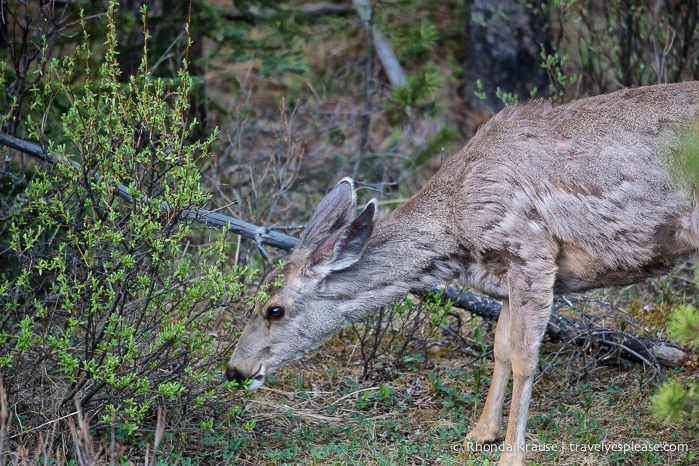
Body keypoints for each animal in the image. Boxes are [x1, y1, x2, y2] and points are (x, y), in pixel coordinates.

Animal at [227, 82, 696, 464]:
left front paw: (511, 454)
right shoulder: (505, 275)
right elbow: (500, 348)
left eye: (273, 309)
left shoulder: (532, 249)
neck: (457, 227)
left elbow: (525, 356)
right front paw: (480, 432)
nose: (235, 371)